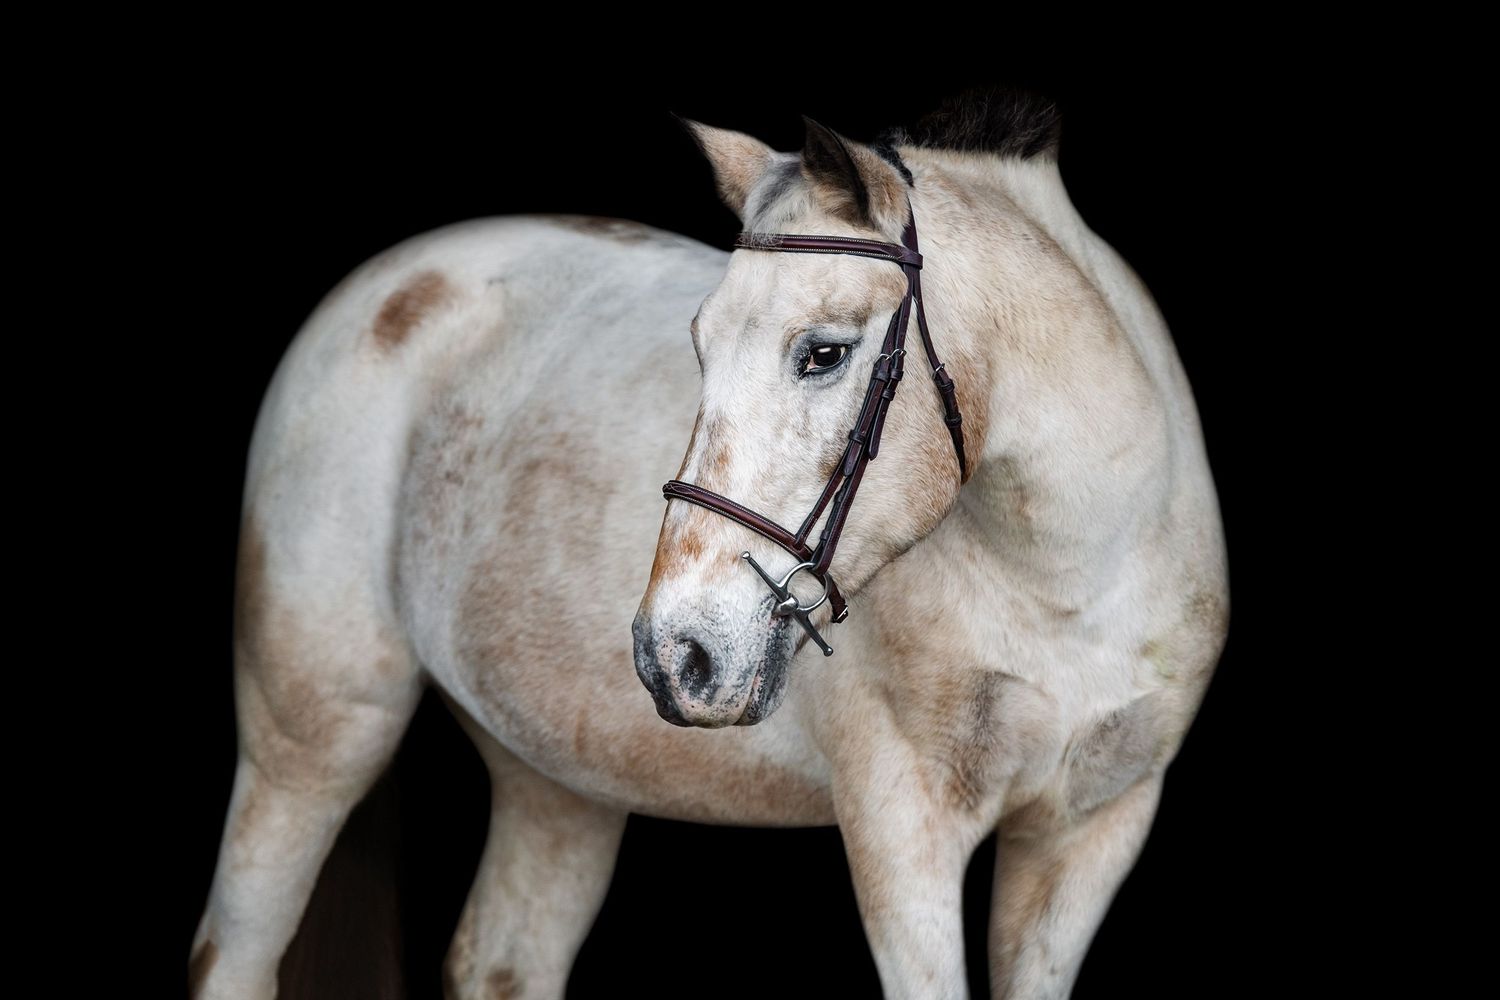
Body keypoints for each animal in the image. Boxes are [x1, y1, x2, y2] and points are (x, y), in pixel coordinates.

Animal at [189, 91, 1230, 999]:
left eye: (824, 353)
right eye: (698, 345)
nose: (674, 654)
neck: (1073, 581)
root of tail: (382, 287)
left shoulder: (1090, 835)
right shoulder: (903, 833)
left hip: (553, 781)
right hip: (312, 741)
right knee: (231, 955)